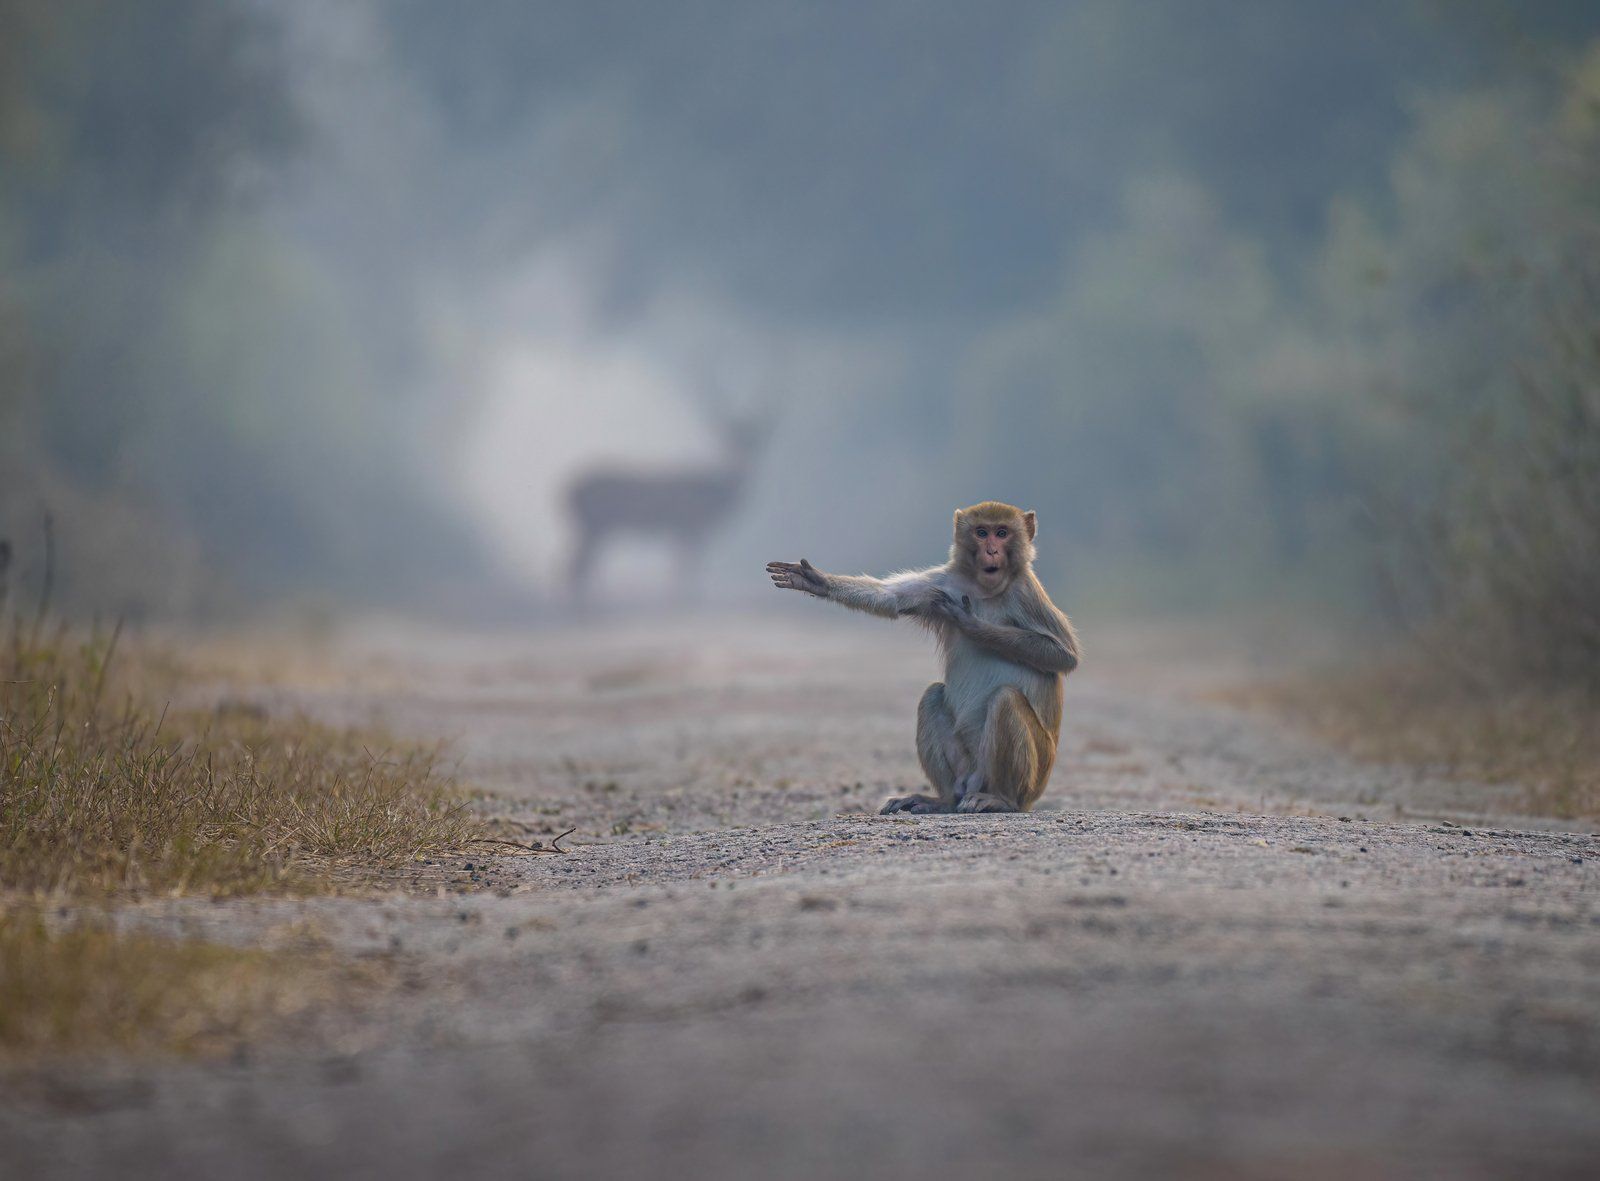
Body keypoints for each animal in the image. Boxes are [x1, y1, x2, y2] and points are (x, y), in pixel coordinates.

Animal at [566, 409, 771, 601]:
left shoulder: (682, 531)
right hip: (595, 526)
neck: (714, 497)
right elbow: (685, 568)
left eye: (754, 442)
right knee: (576, 567)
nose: (743, 461)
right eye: (731, 440)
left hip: (594, 529)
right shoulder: (689, 527)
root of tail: (566, 492)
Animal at [768, 496, 1081, 809]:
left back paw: (1000, 800)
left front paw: (972, 624)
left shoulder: (1027, 593)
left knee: (1006, 700)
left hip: (1033, 778)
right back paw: (944, 801)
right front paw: (815, 580)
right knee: (932, 695)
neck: (985, 589)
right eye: (982, 533)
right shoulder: (943, 583)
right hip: (968, 771)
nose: (991, 551)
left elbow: (1063, 655)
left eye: (1002, 533)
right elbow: (891, 598)